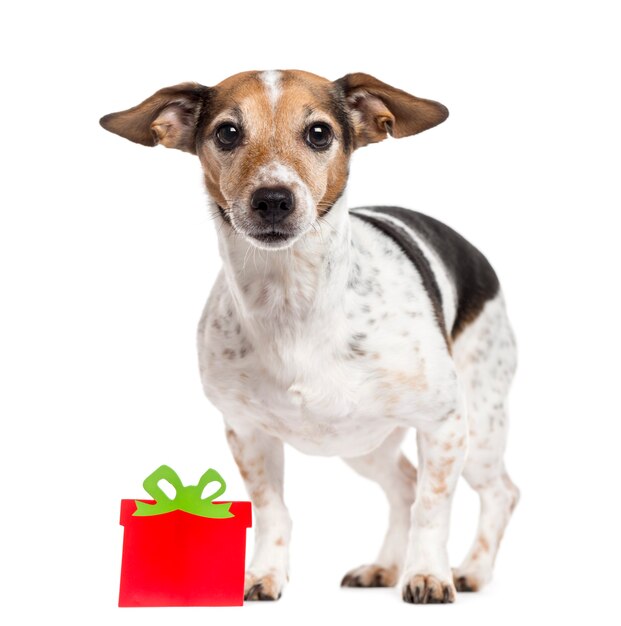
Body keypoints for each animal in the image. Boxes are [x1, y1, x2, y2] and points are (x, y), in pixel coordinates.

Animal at [101, 68, 520, 600]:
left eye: (319, 133)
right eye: (227, 132)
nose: (273, 199)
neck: (292, 300)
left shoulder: (443, 425)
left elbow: (432, 508)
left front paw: (427, 573)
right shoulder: (246, 433)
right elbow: (272, 511)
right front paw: (265, 573)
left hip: (478, 430)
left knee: (500, 493)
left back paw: (472, 569)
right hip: (365, 445)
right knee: (403, 485)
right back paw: (385, 566)